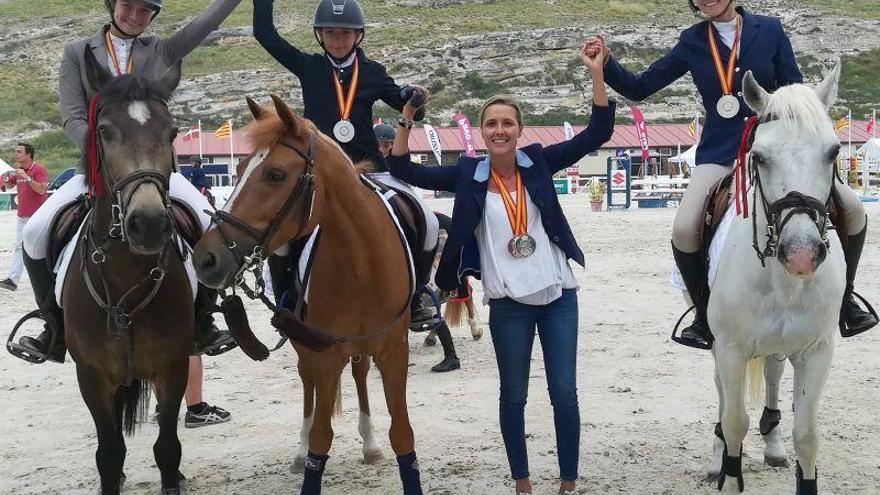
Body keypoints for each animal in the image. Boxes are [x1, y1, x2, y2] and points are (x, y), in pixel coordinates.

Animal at [61, 48, 192, 494]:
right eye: (103, 131)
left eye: (173, 133)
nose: (148, 224)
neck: (123, 274)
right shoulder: (91, 377)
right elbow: (109, 452)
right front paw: (112, 475)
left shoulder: (174, 366)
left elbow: (167, 448)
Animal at [196, 95, 422, 494]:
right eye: (237, 169)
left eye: (275, 174)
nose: (206, 258)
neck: (363, 263)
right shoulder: (326, 355)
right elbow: (320, 435)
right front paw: (308, 453)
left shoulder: (393, 352)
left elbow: (402, 434)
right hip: (307, 347)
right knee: (308, 386)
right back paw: (301, 451)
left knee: (359, 373)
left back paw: (369, 443)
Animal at [708, 63, 844, 495]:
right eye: (760, 157)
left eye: (834, 152)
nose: (801, 254)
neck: (785, 283)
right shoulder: (730, 348)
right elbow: (735, 421)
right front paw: (729, 474)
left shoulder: (817, 351)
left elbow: (808, 435)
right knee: (723, 393)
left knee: (772, 371)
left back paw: (773, 442)